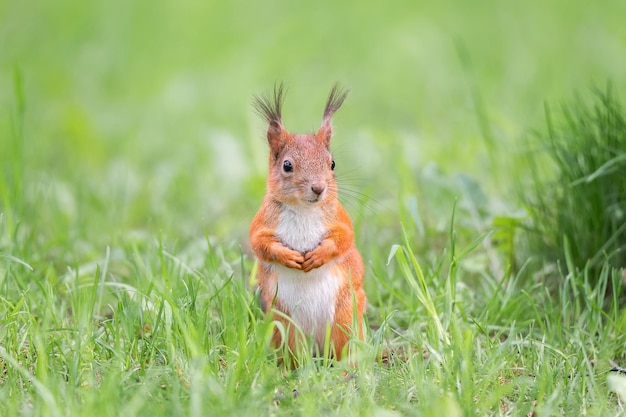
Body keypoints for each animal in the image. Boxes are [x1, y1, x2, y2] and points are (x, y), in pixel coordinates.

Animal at [250, 83, 366, 360]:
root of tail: (317, 346)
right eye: (287, 165)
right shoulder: (261, 223)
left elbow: (345, 238)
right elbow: (259, 243)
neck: (303, 210)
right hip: (283, 325)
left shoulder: (340, 219)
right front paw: (288, 257)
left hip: (346, 317)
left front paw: (318, 256)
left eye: (332, 163)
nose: (318, 188)